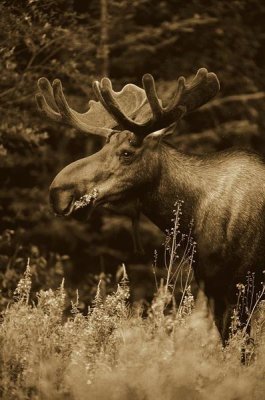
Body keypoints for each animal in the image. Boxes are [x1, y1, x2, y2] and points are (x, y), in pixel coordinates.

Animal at [35, 69, 264, 344]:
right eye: (104, 146)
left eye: (126, 153)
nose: (58, 192)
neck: (193, 219)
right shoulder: (211, 287)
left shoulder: (243, 287)